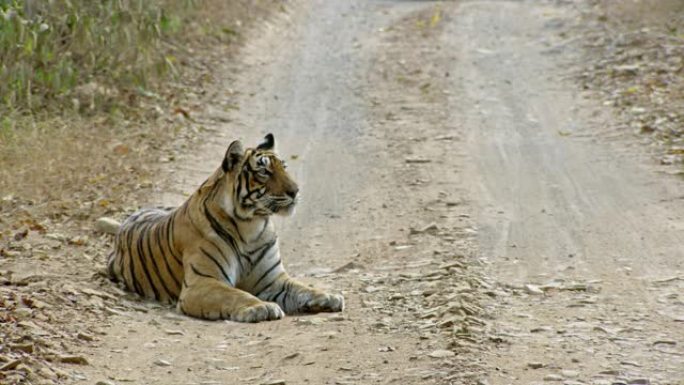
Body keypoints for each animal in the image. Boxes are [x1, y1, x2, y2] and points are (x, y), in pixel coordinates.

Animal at [106, 134, 344, 320]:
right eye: (264, 172)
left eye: (284, 168)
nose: (295, 191)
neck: (251, 225)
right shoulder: (202, 283)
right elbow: (235, 294)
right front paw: (261, 307)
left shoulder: (272, 280)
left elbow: (303, 288)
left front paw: (329, 296)